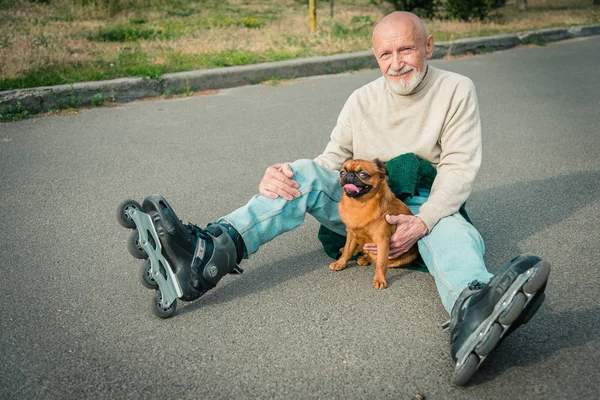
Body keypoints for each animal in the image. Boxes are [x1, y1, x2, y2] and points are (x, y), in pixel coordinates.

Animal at [328, 158, 418, 290]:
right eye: (342, 172)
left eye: (363, 174)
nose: (349, 175)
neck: (360, 204)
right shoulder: (351, 234)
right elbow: (347, 252)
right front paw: (340, 263)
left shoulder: (382, 241)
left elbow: (381, 263)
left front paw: (380, 279)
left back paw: (364, 259)